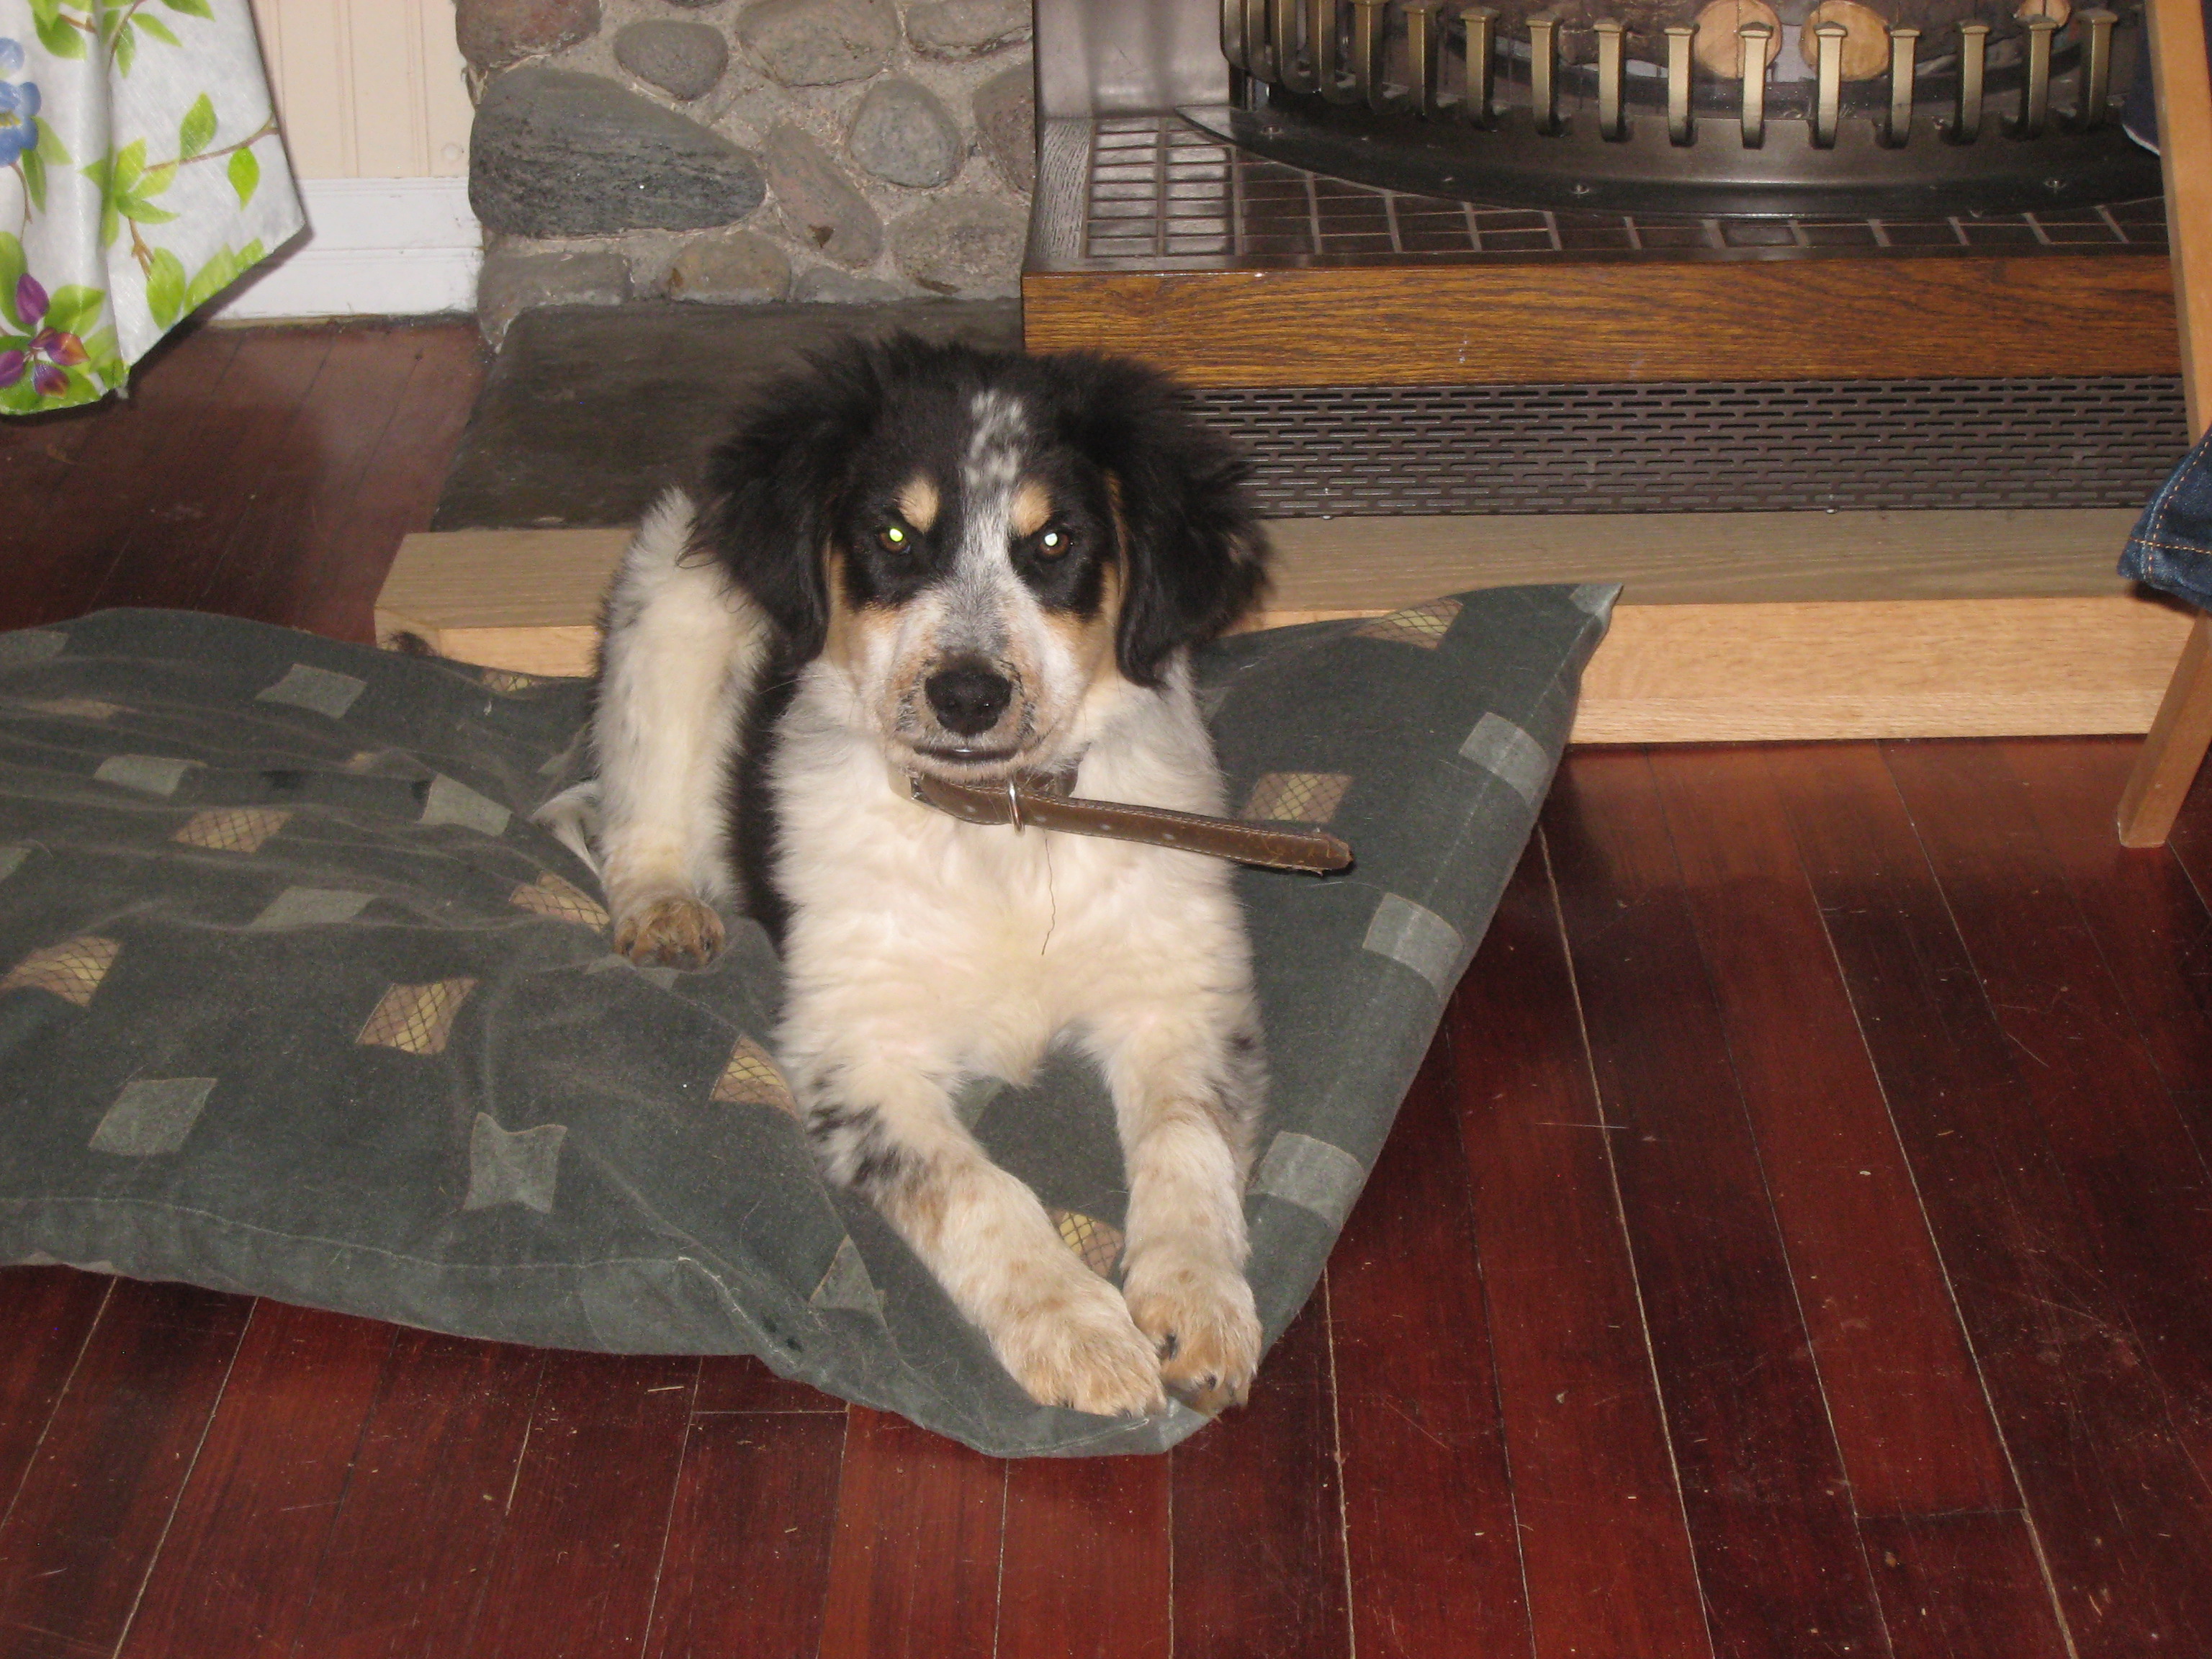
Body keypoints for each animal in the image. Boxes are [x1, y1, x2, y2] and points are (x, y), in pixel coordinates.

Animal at [544, 337, 1272, 1417]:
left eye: (1054, 542)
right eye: (893, 533)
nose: (967, 696)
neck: (1001, 824)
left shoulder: (1179, 995)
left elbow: (1188, 1146)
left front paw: (1198, 1304)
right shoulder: (860, 1047)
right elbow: (978, 1190)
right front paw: (1076, 1332)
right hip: (669, 609)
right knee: (640, 805)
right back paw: (665, 908)